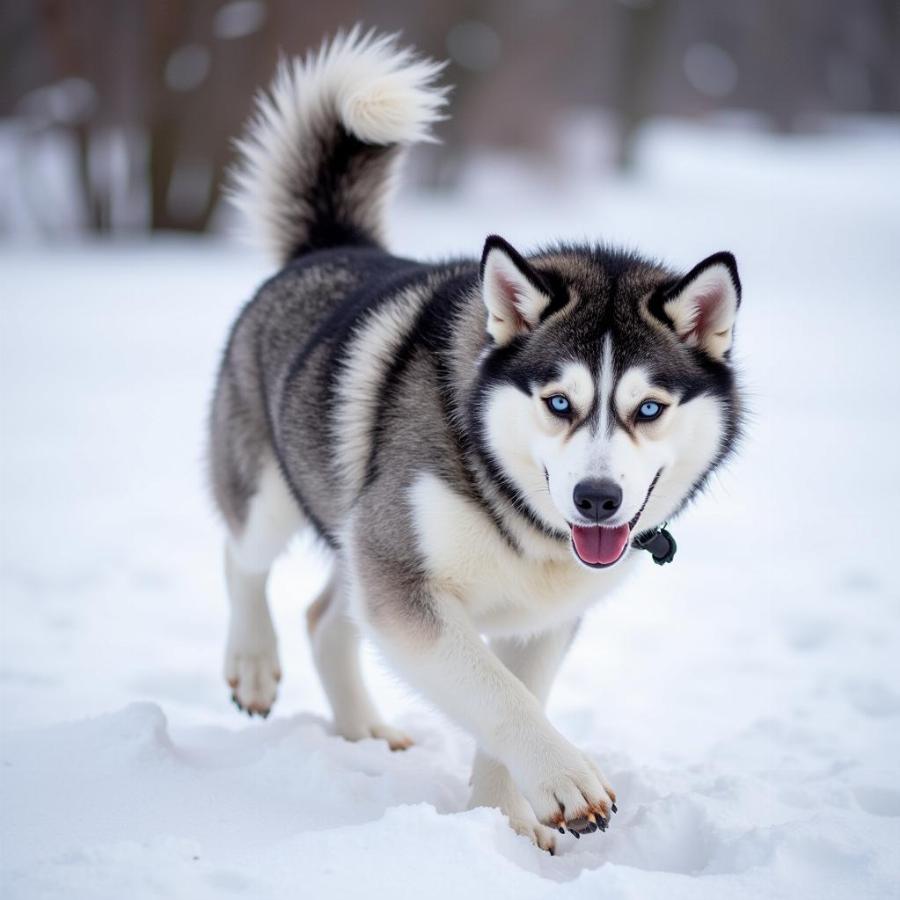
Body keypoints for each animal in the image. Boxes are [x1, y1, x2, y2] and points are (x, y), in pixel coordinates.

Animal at [211, 28, 744, 852]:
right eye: (559, 402)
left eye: (648, 409)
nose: (597, 498)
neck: (516, 508)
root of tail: (330, 247)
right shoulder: (406, 583)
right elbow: (500, 696)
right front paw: (564, 779)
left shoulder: (539, 620)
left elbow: (512, 694)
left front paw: (507, 821)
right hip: (276, 494)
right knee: (244, 557)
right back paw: (254, 663)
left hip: (354, 534)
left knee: (327, 619)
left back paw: (363, 730)